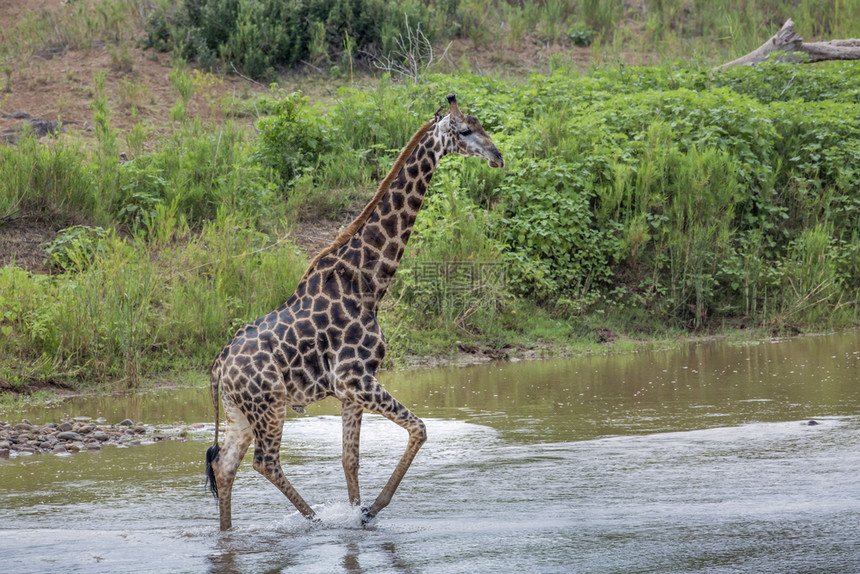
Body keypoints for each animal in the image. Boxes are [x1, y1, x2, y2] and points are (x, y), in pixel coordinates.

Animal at [206, 93, 504, 532]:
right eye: (466, 130)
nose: (497, 156)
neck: (369, 283)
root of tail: (219, 367)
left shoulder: (350, 391)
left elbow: (350, 460)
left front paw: (359, 514)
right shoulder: (357, 378)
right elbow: (420, 429)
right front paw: (370, 510)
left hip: (239, 411)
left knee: (226, 467)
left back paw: (228, 535)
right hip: (270, 404)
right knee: (265, 462)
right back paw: (314, 520)